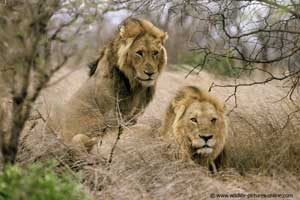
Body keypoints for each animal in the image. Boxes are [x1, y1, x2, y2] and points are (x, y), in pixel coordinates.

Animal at [57, 18, 168, 150]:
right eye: (139, 53)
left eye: (155, 53)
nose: (150, 73)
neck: (135, 85)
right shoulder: (112, 117)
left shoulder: (132, 117)